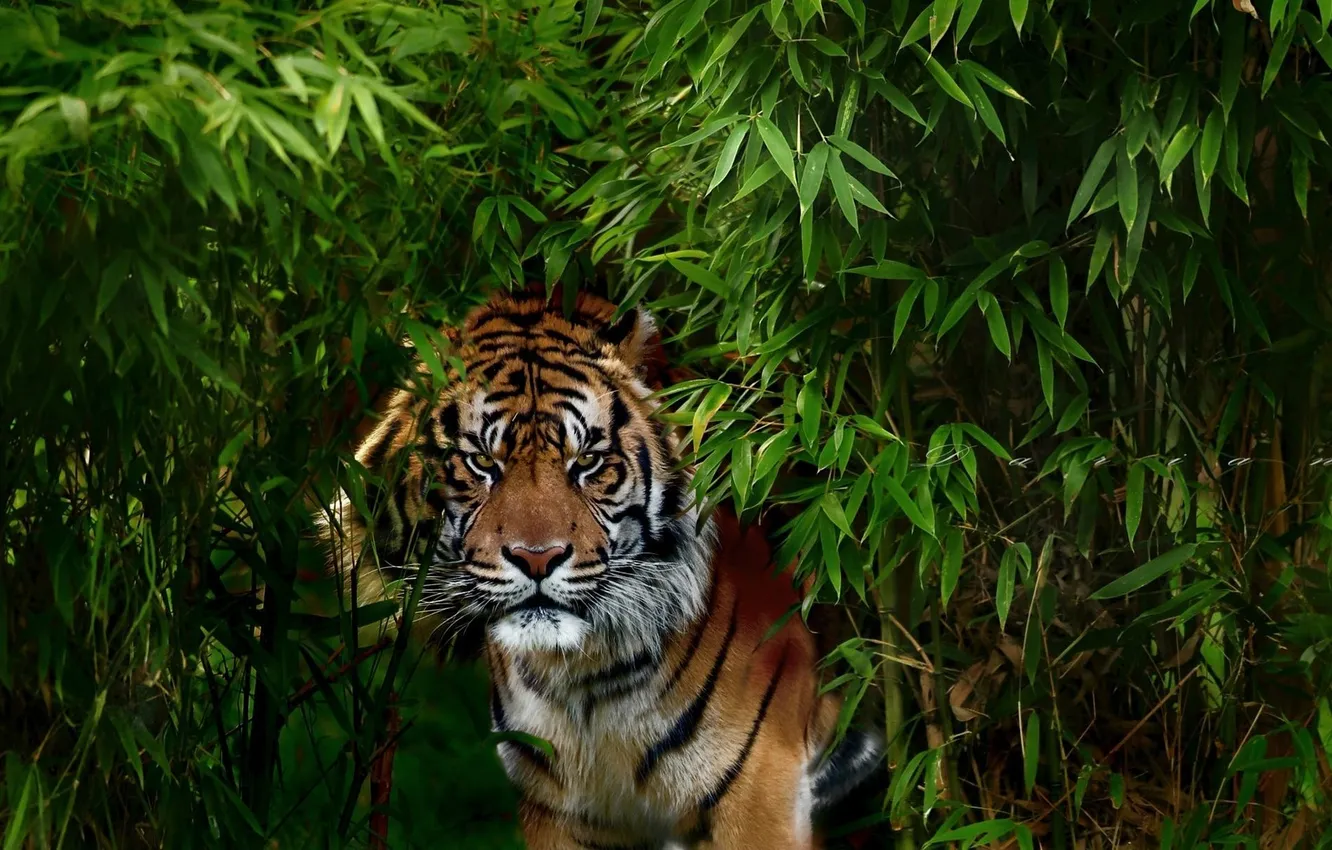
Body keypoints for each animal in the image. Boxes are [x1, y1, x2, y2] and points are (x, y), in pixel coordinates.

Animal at [318, 288, 883, 849]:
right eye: (481, 463)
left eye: (587, 462)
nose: (537, 558)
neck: (587, 680)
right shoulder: (559, 811)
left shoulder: (759, 796)